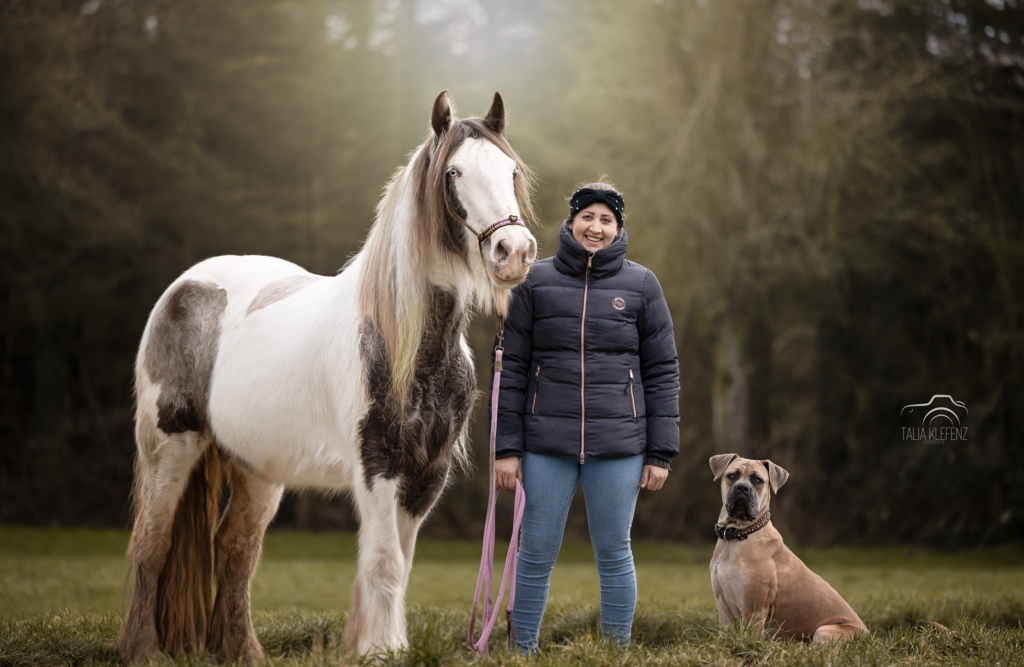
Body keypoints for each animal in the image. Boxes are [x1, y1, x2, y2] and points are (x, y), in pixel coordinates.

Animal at [117, 90, 538, 663]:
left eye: (510, 170)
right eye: (454, 172)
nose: (513, 252)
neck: (404, 343)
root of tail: (184, 287)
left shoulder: (426, 474)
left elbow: (398, 564)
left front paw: (375, 645)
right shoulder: (377, 465)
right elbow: (383, 562)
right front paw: (380, 650)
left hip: (257, 468)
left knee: (235, 550)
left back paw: (244, 653)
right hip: (170, 447)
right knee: (151, 544)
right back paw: (142, 650)